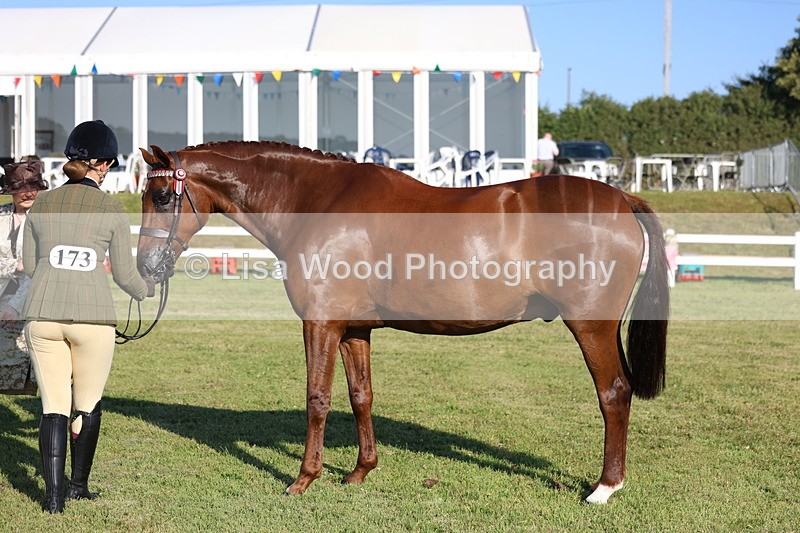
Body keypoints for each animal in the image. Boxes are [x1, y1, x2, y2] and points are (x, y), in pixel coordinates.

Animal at [136, 141, 669, 504]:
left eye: (161, 196)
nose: (145, 266)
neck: (318, 203)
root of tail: (623, 200)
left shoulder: (320, 324)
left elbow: (317, 399)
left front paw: (304, 479)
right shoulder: (353, 330)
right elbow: (360, 396)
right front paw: (359, 472)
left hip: (591, 326)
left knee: (614, 393)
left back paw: (604, 488)